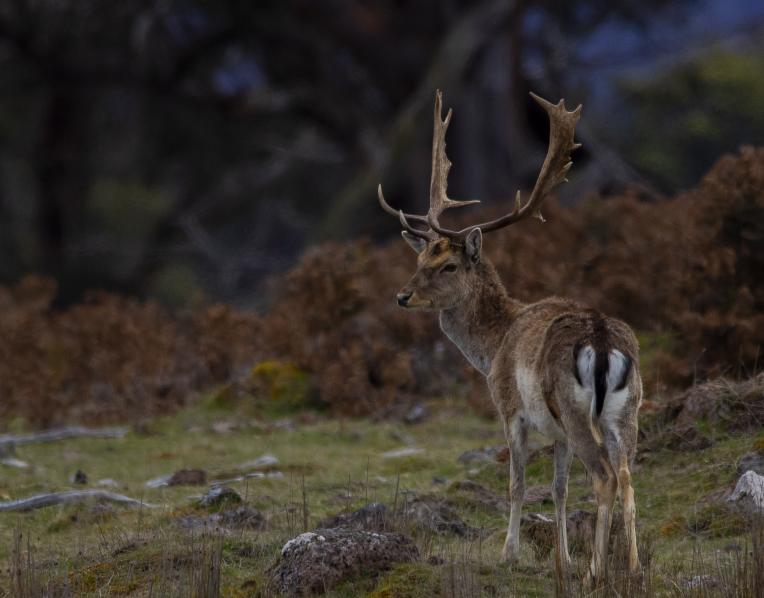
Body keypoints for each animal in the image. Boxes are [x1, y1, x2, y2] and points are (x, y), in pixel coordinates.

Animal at [377, 90, 641, 586]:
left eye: (449, 265)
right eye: (420, 257)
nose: (402, 296)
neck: (493, 345)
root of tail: (601, 342)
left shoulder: (510, 409)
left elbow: (518, 484)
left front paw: (510, 554)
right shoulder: (556, 433)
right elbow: (558, 489)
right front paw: (563, 559)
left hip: (577, 411)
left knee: (604, 476)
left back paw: (596, 572)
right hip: (627, 411)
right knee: (628, 477)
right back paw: (632, 569)